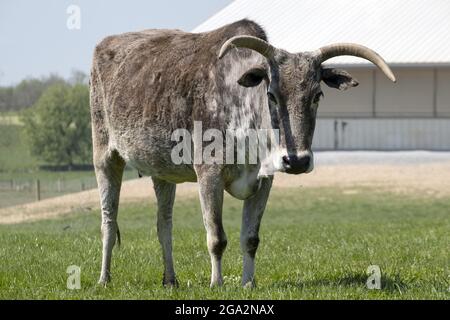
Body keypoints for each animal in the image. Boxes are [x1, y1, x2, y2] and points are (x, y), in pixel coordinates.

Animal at [90, 18, 394, 288]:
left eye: (317, 95)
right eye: (271, 95)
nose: (296, 160)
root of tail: (106, 43)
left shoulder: (265, 179)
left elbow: (250, 238)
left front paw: (248, 283)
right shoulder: (208, 175)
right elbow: (216, 237)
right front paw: (217, 283)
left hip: (162, 173)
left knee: (164, 224)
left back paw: (170, 280)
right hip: (104, 156)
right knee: (108, 221)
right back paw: (104, 279)